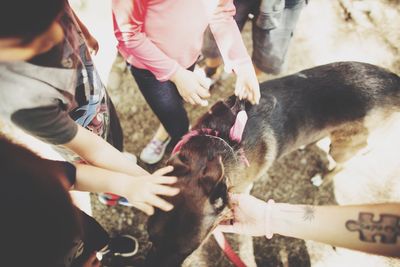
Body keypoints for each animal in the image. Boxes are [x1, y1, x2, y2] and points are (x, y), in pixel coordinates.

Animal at [142, 61, 398, 266]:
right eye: (149, 237)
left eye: (190, 250)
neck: (221, 141)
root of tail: (394, 81)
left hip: (343, 147)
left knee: (344, 163)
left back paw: (321, 177)